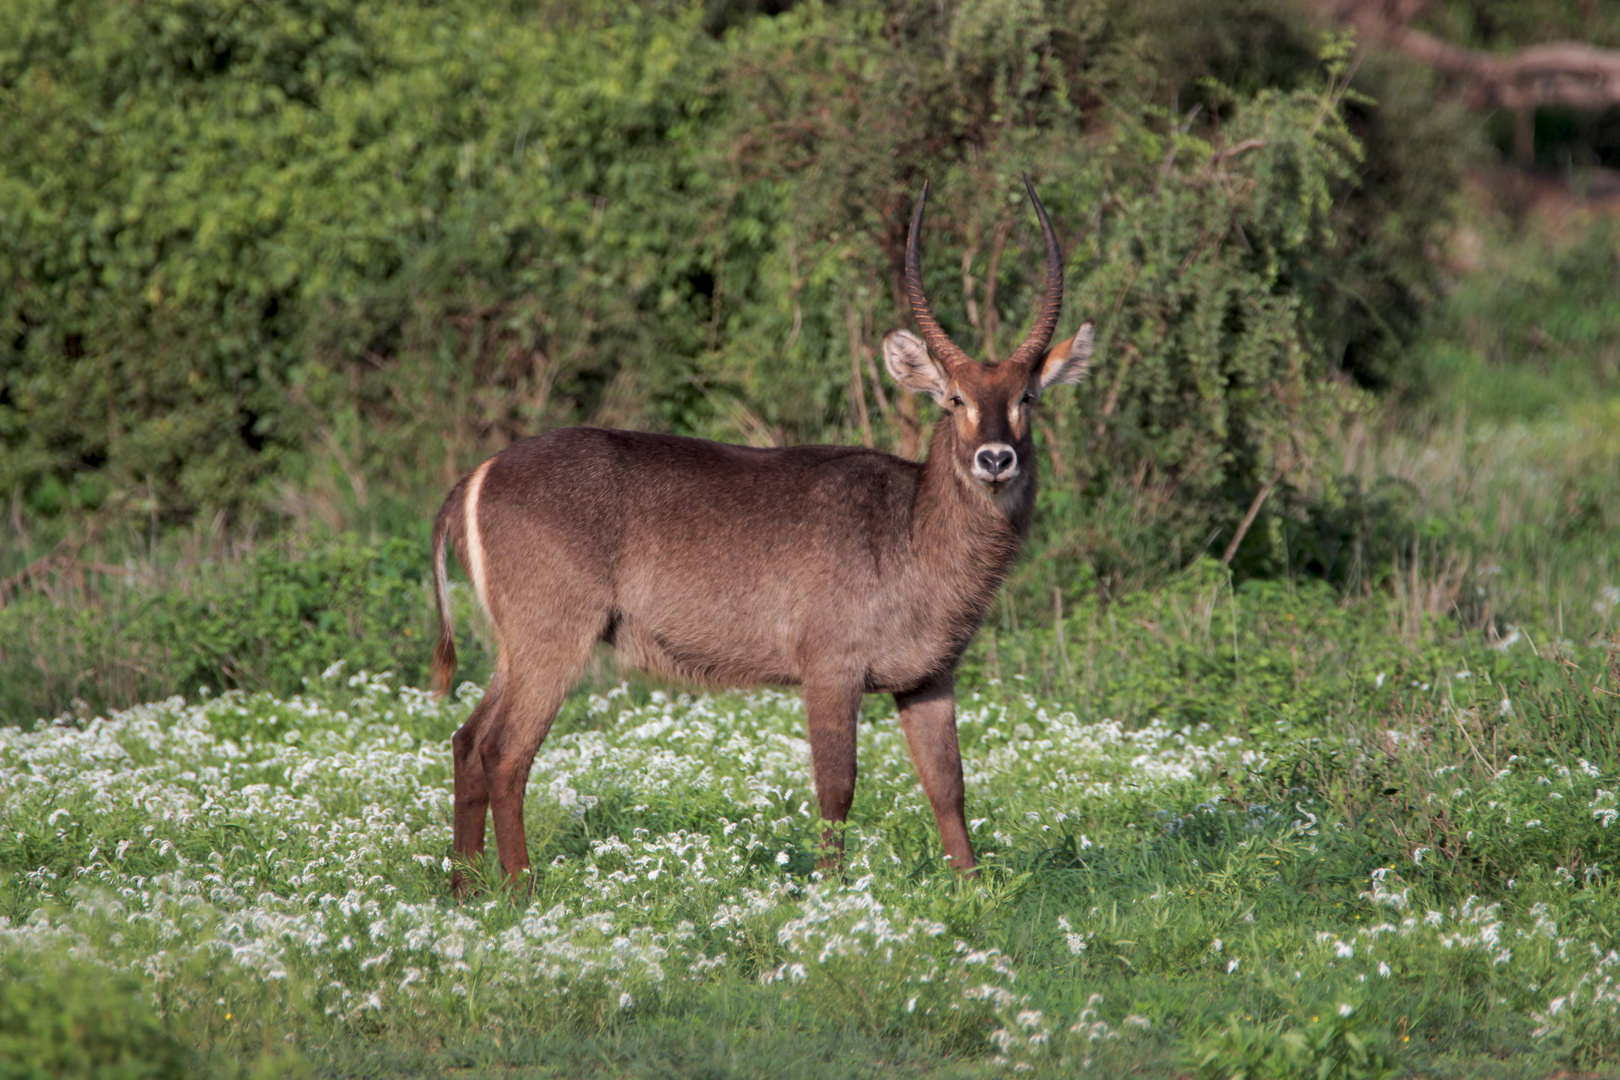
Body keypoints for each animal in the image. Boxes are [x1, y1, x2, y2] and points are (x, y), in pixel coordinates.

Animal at [430, 179, 1095, 887]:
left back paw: (464, 889)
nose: (996, 458)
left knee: (467, 741)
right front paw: (832, 893)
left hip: (517, 645)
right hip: (553, 637)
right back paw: (520, 888)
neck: (912, 528)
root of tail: (476, 475)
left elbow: (949, 785)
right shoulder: (830, 668)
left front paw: (971, 890)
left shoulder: (930, 677)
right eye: (955, 399)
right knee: (505, 752)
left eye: (1027, 398)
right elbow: (837, 788)